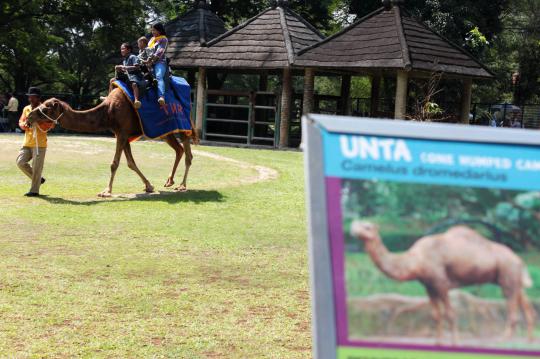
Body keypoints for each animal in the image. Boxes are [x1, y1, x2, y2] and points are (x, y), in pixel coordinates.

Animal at [26, 88, 194, 198]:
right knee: (179, 149)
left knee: (187, 151)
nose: (29, 117)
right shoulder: (122, 134)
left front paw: (106, 191)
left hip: (181, 123)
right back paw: (170, 181)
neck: (108, 112)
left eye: (46, 108)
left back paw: (182, 185)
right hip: (166, 132)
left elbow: (115, 163)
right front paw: (149, 186)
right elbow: (131, 163)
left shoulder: (122, 133)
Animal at [350, 222, 536, 346]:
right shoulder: (429, 286)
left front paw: (455, 342)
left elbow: (450, 314)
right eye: (356, 223)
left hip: (508, 271)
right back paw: (528, 340)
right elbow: (436, 315)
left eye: (367, 226)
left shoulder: (441, 282)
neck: (415, 260)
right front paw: (437, 343)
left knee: (511, 304)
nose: (353, 228)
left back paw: (504, 340)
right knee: (524, 301)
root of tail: (519, 260)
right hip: (512, 277)